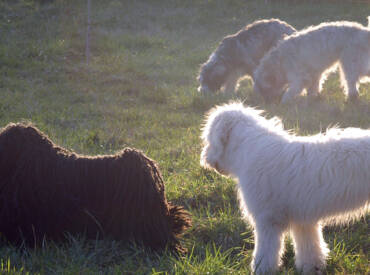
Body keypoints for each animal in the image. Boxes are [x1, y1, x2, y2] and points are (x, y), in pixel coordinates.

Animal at [199, 102, 370, 274]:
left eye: (208, 138)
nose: (204, 159)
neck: (249, 149)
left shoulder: (267, 219)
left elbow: (266, 252)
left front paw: (261, 270)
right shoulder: (303, 220)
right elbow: (309, 247)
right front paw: (312, 268)